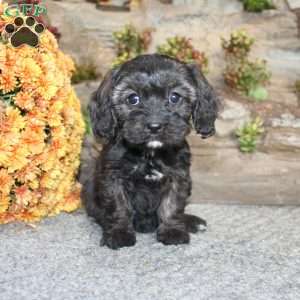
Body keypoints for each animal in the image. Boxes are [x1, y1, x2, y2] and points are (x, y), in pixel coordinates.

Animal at [83, 54, 219, 251]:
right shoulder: (113, 178)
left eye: (175, 97)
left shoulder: (178, 177)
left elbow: (172, 205)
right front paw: (119, 233)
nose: (155, 126)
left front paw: (172, 231)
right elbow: (118, 206)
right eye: (133, 98)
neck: (150, 153)